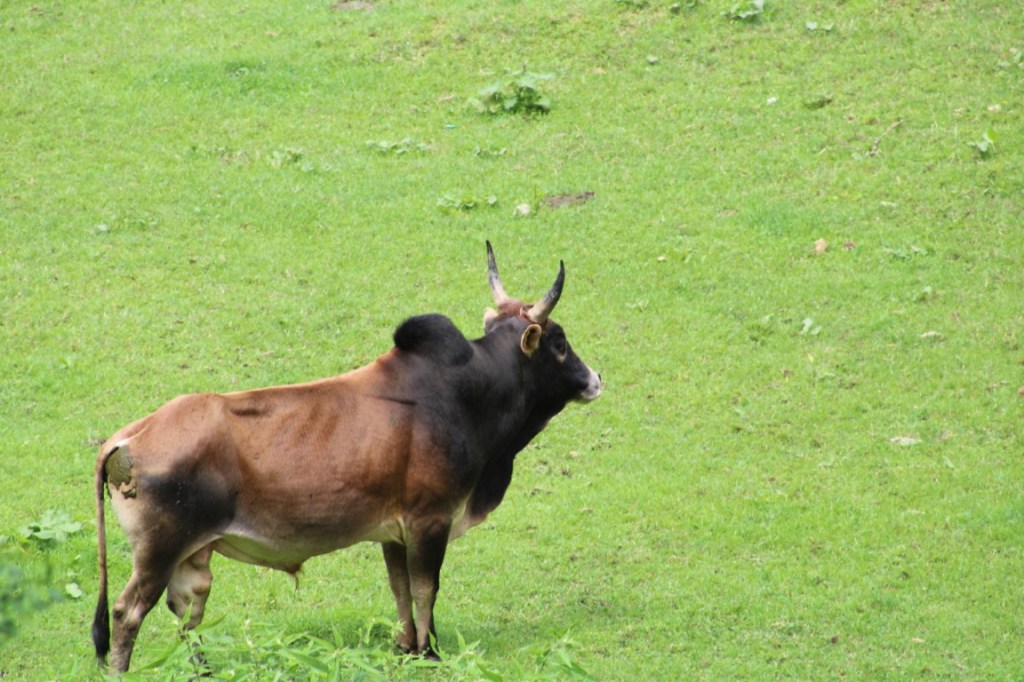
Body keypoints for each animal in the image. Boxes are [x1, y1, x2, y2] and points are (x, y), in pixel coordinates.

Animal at [92, 242, 602, 672]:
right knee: (126, 612)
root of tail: (129, 437)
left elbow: (400, 590)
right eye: (559, 342)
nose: (595, 378)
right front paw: (430, 653)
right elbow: (425, 588)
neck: (467, 391)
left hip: (191, 559)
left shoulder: (394, 532)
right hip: (158, 553)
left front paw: (407, 647)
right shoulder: (430, 520)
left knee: (186, 612)